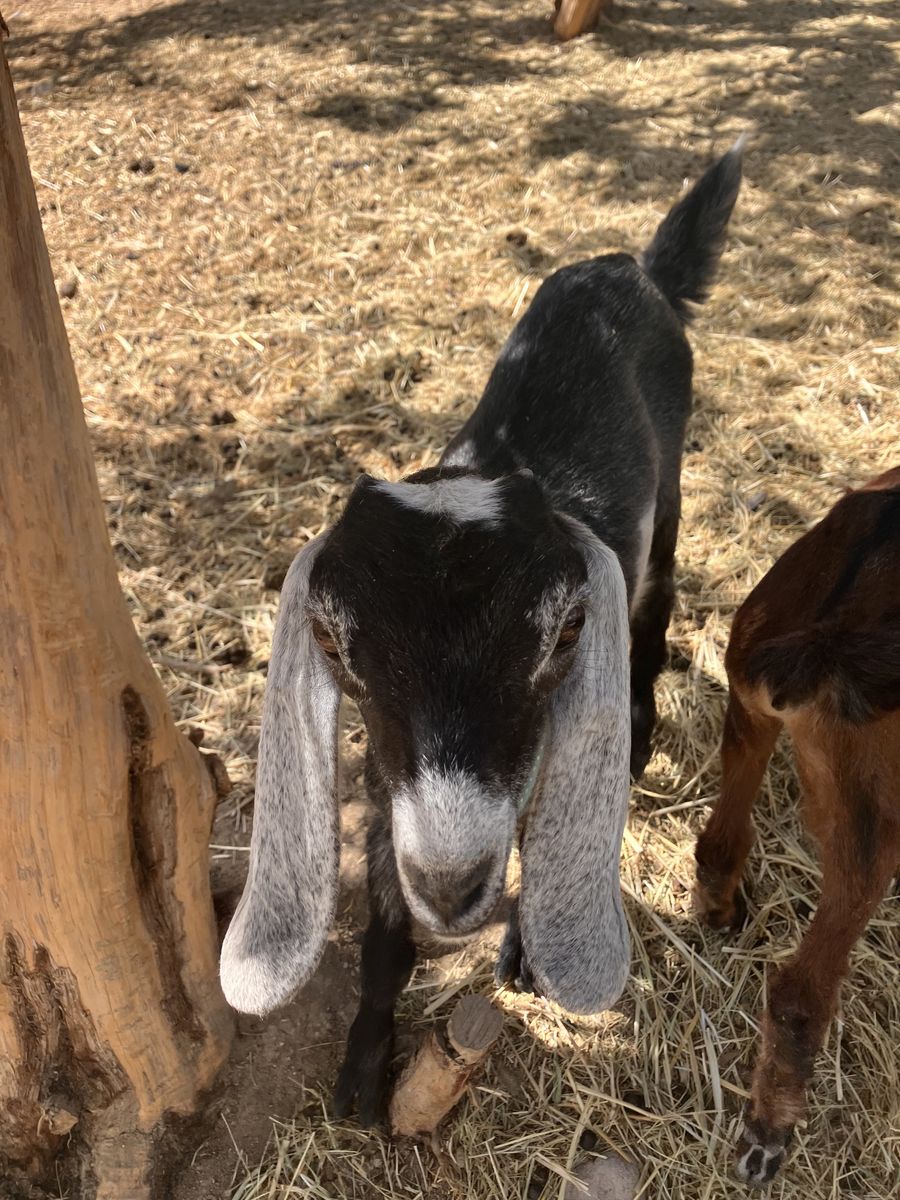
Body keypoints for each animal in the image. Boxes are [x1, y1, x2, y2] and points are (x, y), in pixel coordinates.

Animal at [220, 143, 744, 1124]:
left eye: (565, 634)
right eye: (335, 649)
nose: (455, 885)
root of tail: (636, 269)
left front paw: (528, 954)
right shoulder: (388, 782)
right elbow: (386, 930)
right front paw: (361, 1076)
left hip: (671, 501)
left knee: (656, 613)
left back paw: (638, 738)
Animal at [695, 467, 900, 1186]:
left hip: (748, 683)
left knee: (719, 837)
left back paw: (720, 910)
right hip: (873, 821)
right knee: (799, 994)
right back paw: (768, 1134)